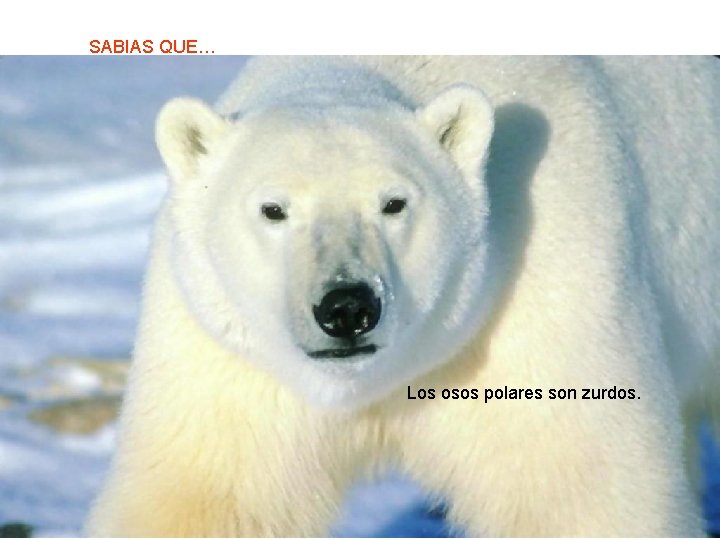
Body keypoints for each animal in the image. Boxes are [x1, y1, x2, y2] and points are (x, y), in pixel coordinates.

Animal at [85, 56, 720, 537]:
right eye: (273, 209)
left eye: (394, 203)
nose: (346, 308)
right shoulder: (226, 358)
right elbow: (205, 497)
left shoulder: (542, 292)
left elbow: (580, 492)